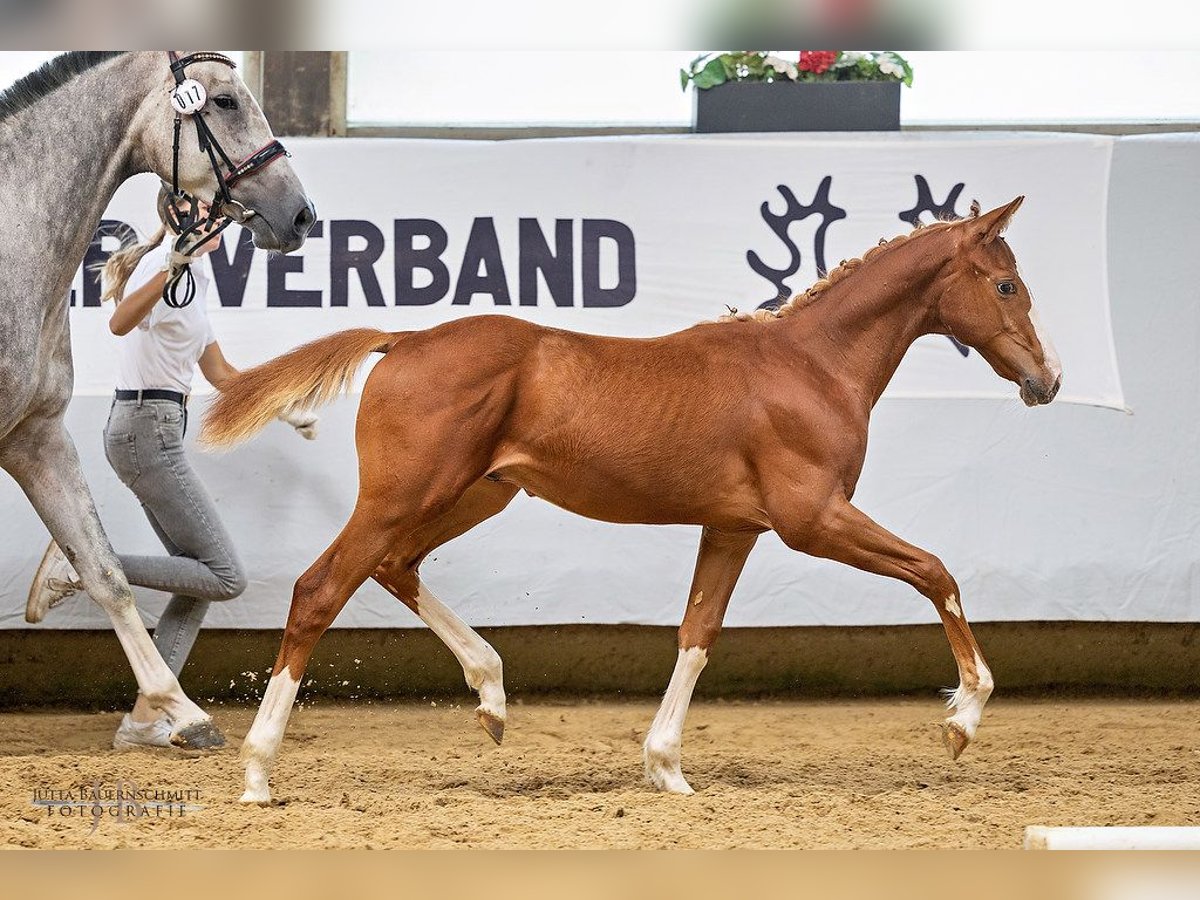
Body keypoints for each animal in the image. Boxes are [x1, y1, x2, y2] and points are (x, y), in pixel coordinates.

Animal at [204, 196, 1060, 801]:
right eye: (1006, 283)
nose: (1047, 381)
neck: (812, 365)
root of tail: (404, 341)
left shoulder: (733, 529)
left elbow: (697, 634)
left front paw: (666, 768)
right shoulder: (811, 519)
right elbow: (935, 571)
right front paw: (964, 719)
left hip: (477, 496)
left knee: (394, 567)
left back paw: (492, 696)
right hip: (404, 494)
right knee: (321, 588)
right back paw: (258, 772)